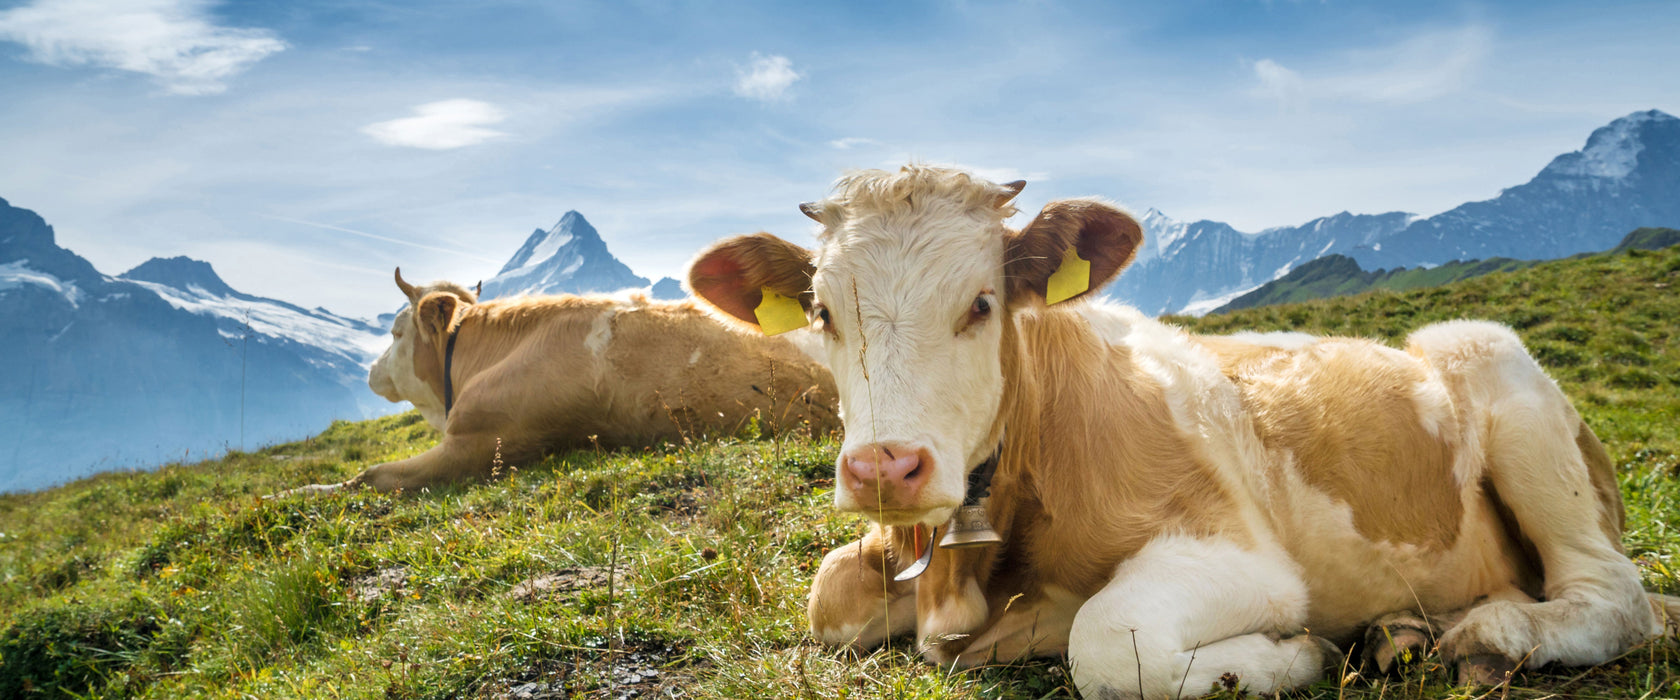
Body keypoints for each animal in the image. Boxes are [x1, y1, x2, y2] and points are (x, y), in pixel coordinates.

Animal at [685, 165, 1680, 698]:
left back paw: (1488, 633)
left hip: (1490, 361)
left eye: (981, 303)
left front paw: (1293, 655)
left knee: (1613, 597)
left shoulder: (1241, 553)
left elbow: (1109, 641)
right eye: (822, 311)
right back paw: (1403, 633)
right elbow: (829, 596)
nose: (886, 467)